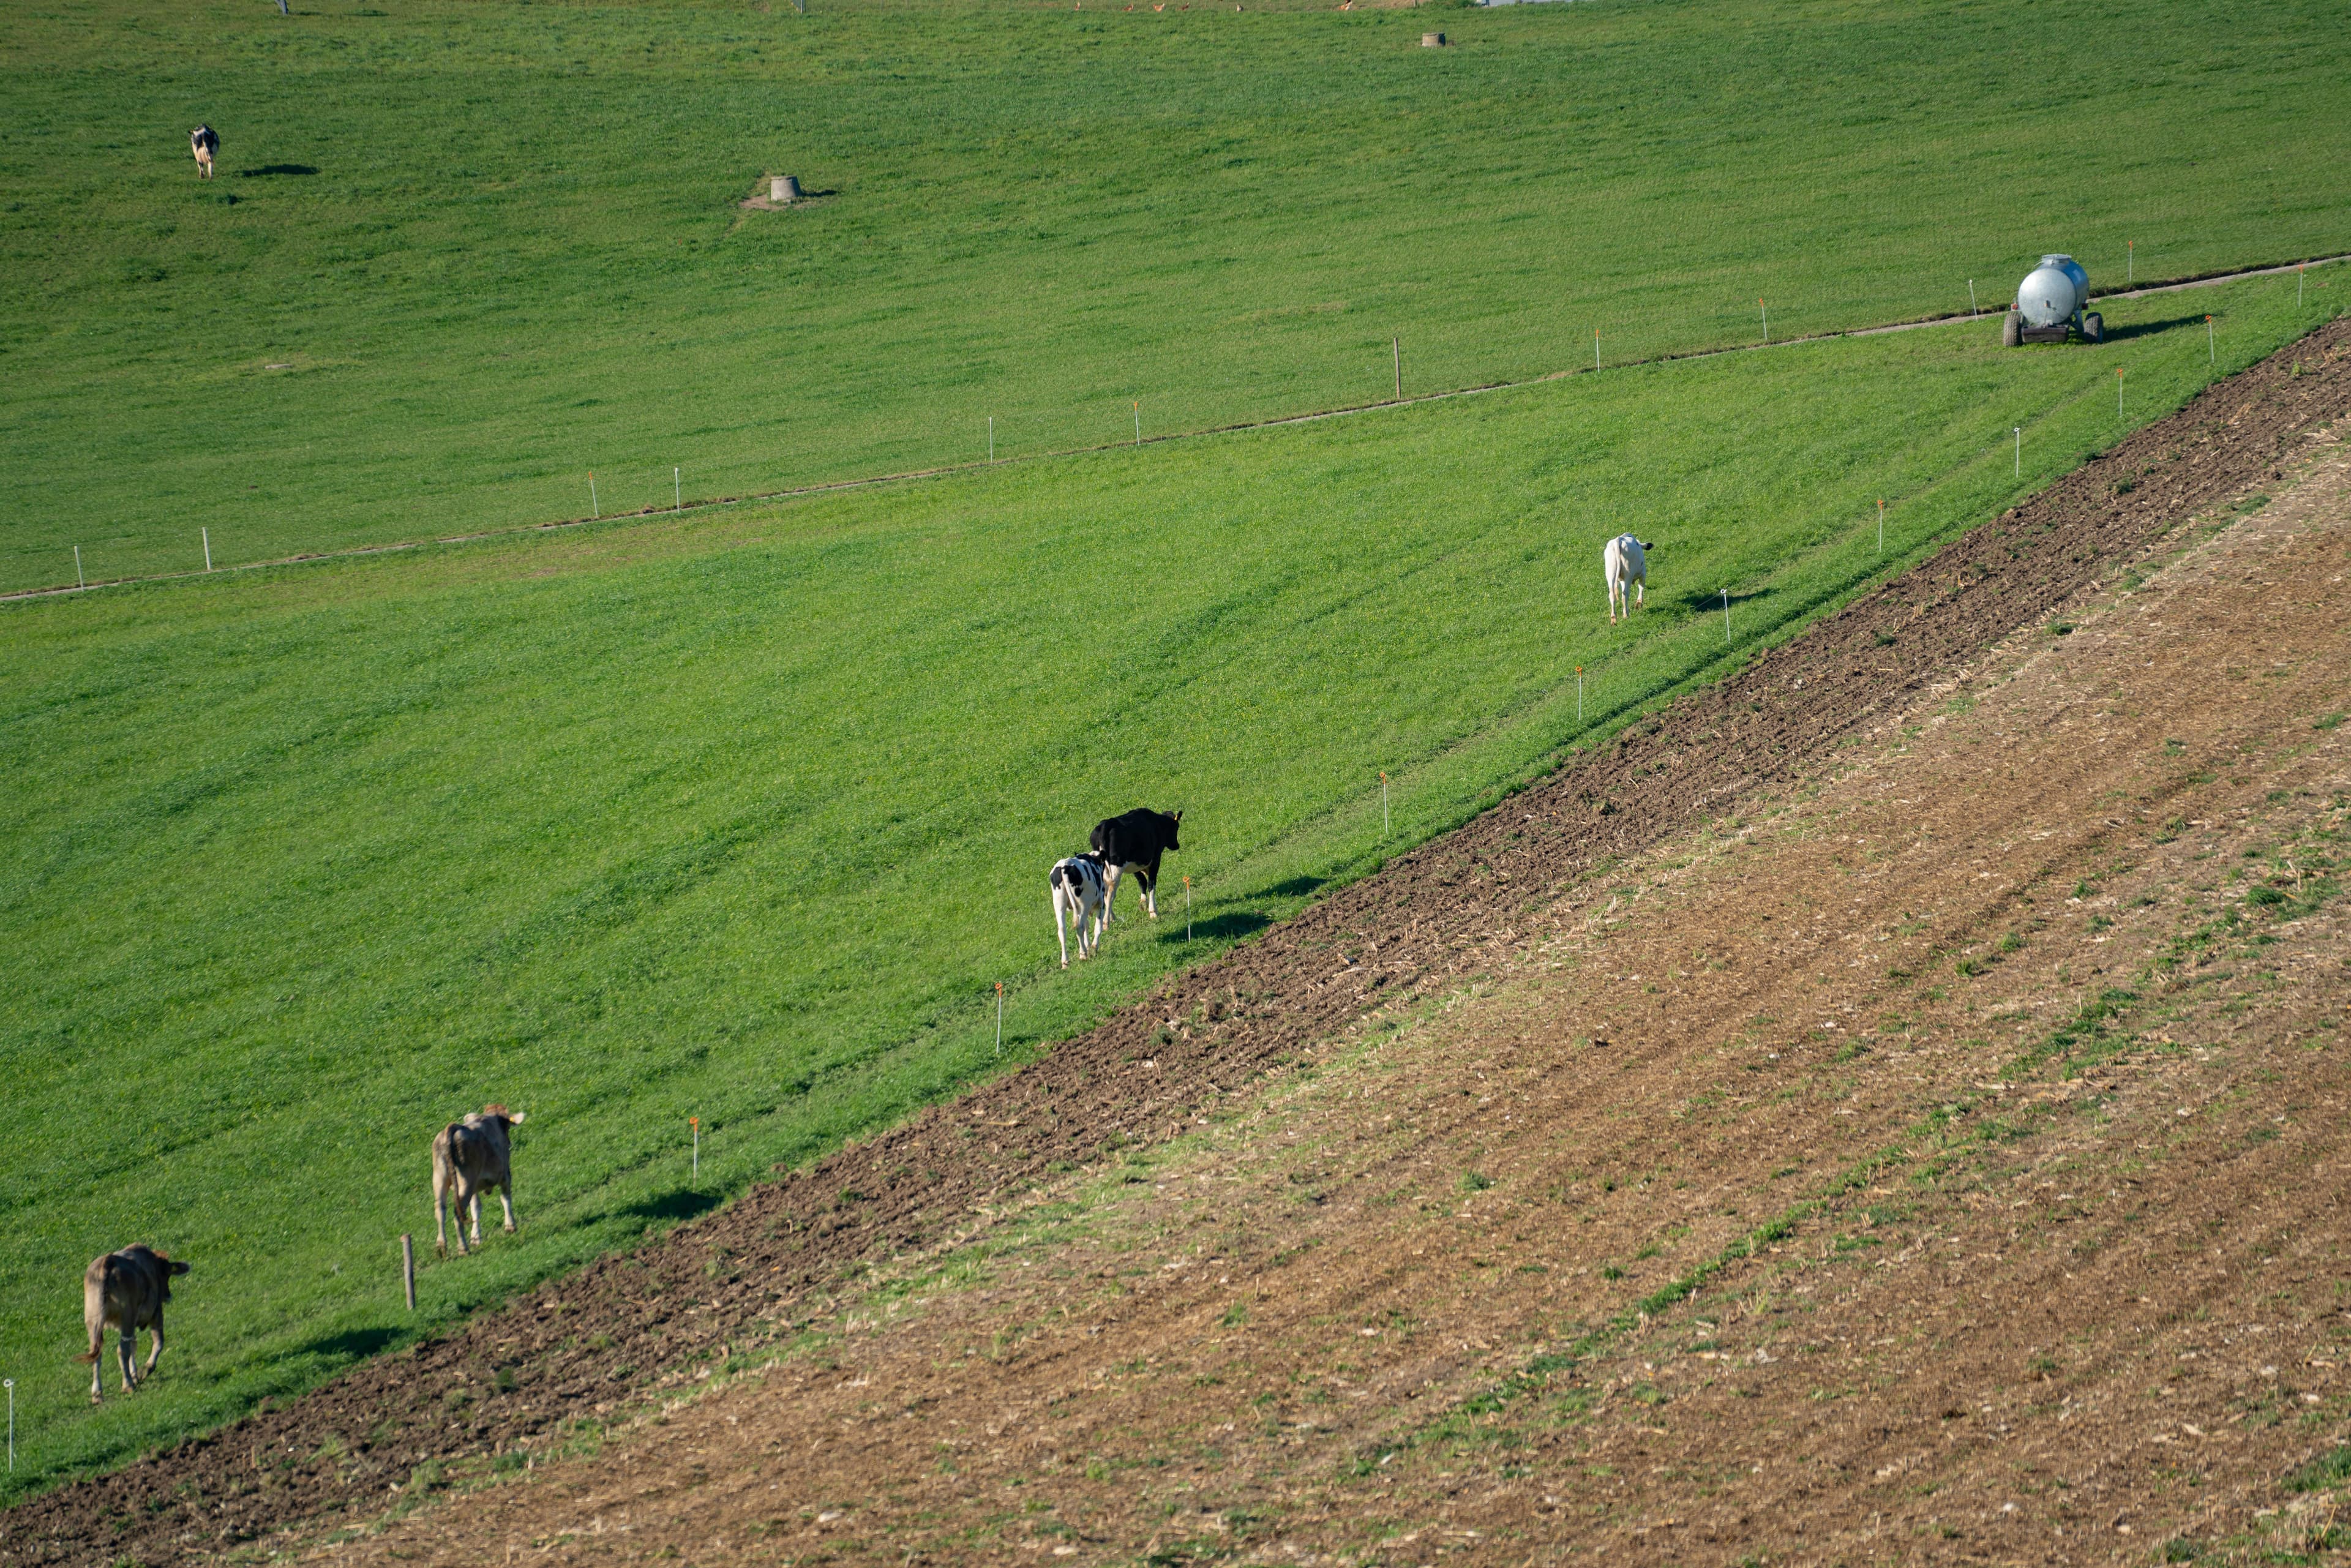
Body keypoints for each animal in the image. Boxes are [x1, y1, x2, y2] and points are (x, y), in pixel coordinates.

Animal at [78, 1245, 190, 1403]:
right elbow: (158, 1342)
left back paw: (97, 1394)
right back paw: (128, 1385)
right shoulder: (156, 1312)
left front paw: (135, 1375)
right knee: (122, 1350)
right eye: (167, 1275)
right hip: (127, 1316)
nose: (168, 1296)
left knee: (97, 1353)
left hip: (94, 1319)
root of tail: (109, 1259)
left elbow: (134, 1346)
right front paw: (145, 1370)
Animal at [433, 1106, 526, 1257]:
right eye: (507, 1128)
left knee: (440, 1210)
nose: (509, 1143)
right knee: (458, 1214)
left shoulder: (475, 1188)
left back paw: (442, 1247)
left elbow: (476, 1208)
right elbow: (506, 1198)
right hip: (466, 1182)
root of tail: (454, 1128)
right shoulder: (505, 1173)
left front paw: (476, 1238)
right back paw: (463, 1249)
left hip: (440, 1178)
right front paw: (511, 1226)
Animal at [1048, 851, 1110, 967]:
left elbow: (1087, 925)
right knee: (1080, 928)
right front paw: (1094, 947)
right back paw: (1083, 954)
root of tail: (1065, 866)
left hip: (1059, 903)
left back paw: (1065, 961)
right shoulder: (1101, 904)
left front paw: (1088, 945)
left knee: (1062, 931)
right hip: (1084, 903)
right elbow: (1097, 927)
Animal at [1089, 808, 1182, 925]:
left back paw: (1112, 917)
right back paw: (1107, 921)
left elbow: (1142, 882)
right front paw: (1153, 911)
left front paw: (1143, 903)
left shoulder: (1134, 864)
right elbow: (1151, 884)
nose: (1177, 846)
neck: (1157, 823)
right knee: (1109, 893)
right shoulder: (1156, 859)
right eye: (1176, 827)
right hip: (1116, 868)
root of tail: (1105, 825)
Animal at [1604, 533, 1654, 623]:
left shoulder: (1622, 580)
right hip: (1629, 575)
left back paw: (1614, 619)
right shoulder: (1643, 573)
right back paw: (1626, 615)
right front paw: (1639, 604)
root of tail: (1619, 539)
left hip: (1610, 574)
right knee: (1625, 594)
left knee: (1612, 595)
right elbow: (1641, 587)